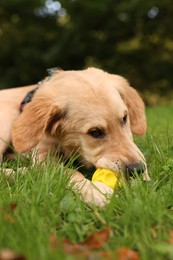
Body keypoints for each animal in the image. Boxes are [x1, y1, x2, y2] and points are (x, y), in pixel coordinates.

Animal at [0, 68, 149, 206]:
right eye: (95, 132)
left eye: (124, 118)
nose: (137, 170)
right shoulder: (42, 155)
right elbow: (68, 171)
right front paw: (94, 190)